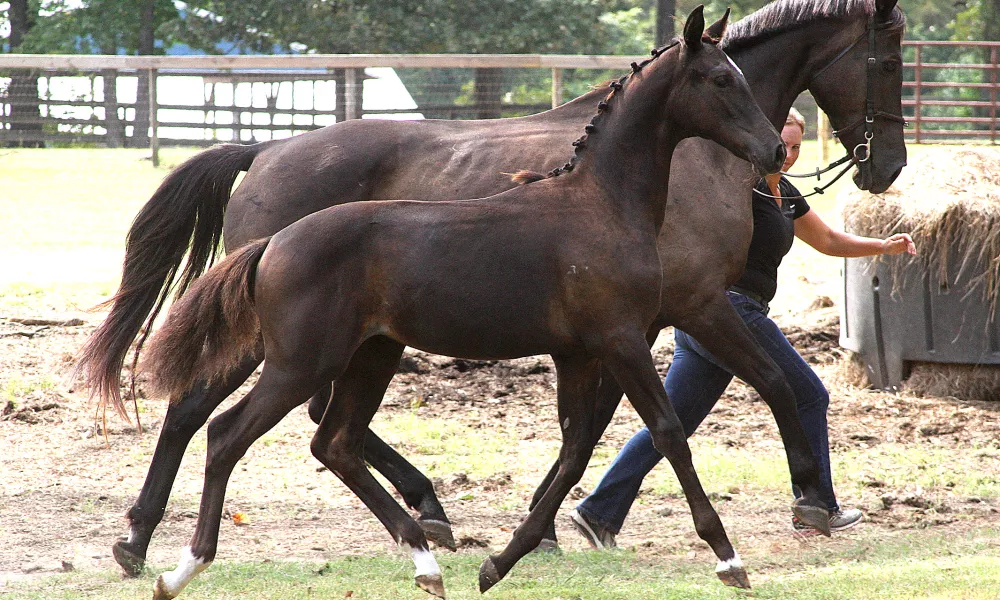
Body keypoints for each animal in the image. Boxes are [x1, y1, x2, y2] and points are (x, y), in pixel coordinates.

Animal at [78, 0, 908, 576]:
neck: (610, 197)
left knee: (316, 432)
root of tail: (269, 167)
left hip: (358, 352)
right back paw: (165, 548)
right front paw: (767, 528)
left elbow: (590, 435)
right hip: (296, 353)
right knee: (216, 420)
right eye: (890, 53)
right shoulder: (658, 321)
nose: (885, 166)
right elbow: (705, 410)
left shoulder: (606, 340)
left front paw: (531, 540)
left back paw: (418, 533)